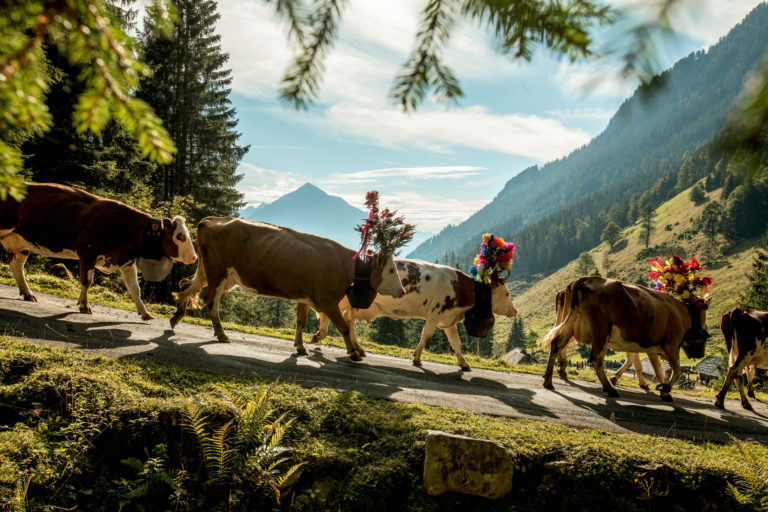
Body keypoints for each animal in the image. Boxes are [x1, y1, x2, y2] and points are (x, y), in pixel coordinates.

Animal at [0, 183, 198, 320]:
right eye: (180, 236)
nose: (194, 257)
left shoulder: (126, 261)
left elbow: (135, 289)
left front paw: (145, 313)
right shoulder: (87, 253)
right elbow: (87, 281)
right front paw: (84, 306)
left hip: (21, 243)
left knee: (16, 265)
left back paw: (28, 293)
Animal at [169, 216, 404, 360]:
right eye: (392, 270)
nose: (402, 292)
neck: (347, 266)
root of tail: (211, 220)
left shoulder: (305, 297)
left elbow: (301, 322)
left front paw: (300, 347)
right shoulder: (327, 300)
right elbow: (343, 327)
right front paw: (353, 353)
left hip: (213, 273)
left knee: (189, 287)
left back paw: (176, 316)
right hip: (218, 273)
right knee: (211, 302)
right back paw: (220, 334)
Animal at [306, 258, 516, 370]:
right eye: (507, 294)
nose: (515, 311)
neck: (459, 288)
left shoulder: (448, 320)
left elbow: (456, 343)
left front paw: (463, 363)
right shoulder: (435, 313)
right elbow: (426, 335)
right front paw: (416, 358)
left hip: (354, 305)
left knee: (348, 323)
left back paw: (358, 349)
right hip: (341, 298)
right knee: (328, 315)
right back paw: (320, 336)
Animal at [544, 276, 712, 400]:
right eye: (704, 311)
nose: (701, 354)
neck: (684, 313)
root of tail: (585, 279)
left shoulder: (650, 346)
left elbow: (654, 368)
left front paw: (661, 389)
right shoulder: (670, 345)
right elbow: (675, 370)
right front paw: (665, 389)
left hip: (572, 324)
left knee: (556, 344)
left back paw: (548, 380)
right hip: (600, 330)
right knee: (596, 359)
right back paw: (609, 388)